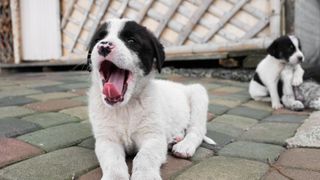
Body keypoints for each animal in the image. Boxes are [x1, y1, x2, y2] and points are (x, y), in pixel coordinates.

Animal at [87, 18, 215, 180]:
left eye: (131, 40)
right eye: (98, 40)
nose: (103, 46)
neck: (126, 107)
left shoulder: (153, 137)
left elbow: (144, 157)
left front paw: (145, 176)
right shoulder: (107, 139)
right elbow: (113, 160)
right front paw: (115, 177)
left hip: (198, 93)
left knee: (196, 131)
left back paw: (184, 145)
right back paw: (174, 138)